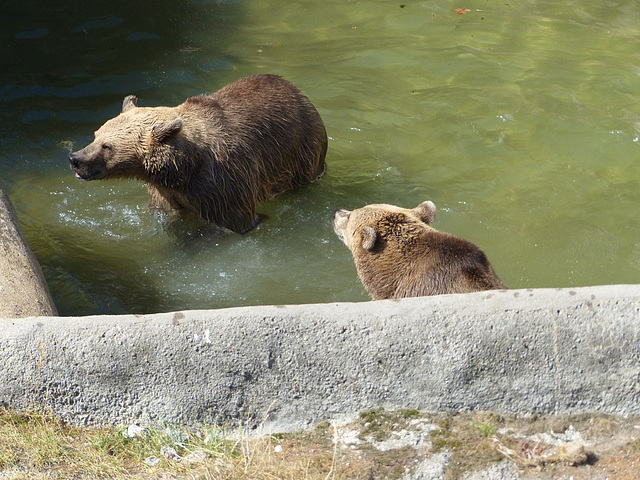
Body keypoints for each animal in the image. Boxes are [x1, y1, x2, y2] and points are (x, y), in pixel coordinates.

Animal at [70, 74, 328, 233]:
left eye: (107, 146)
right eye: (96, 135)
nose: (75, 159)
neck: (182, 168)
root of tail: (297, 90)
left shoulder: (222, 183)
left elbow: (236, 220)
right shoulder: (165, 191)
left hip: (300, 148)